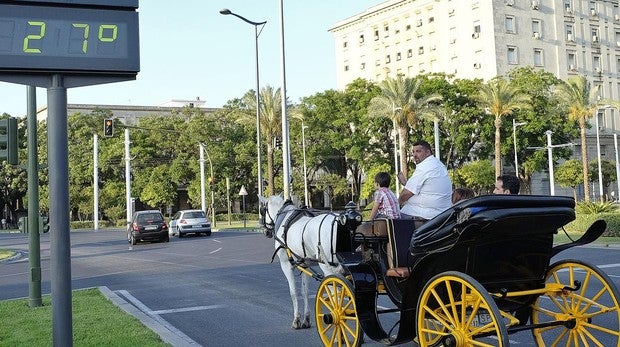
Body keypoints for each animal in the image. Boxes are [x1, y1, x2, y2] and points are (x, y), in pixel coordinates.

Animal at [256, 194, 344, 330]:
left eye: (262, 210)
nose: (266, 232)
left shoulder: (286, 265)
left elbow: (293, 292)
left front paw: (296, 320)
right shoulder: (304, 265)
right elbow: (304, 291)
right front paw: (306, 320)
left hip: (327, 266)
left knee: (336, 292)